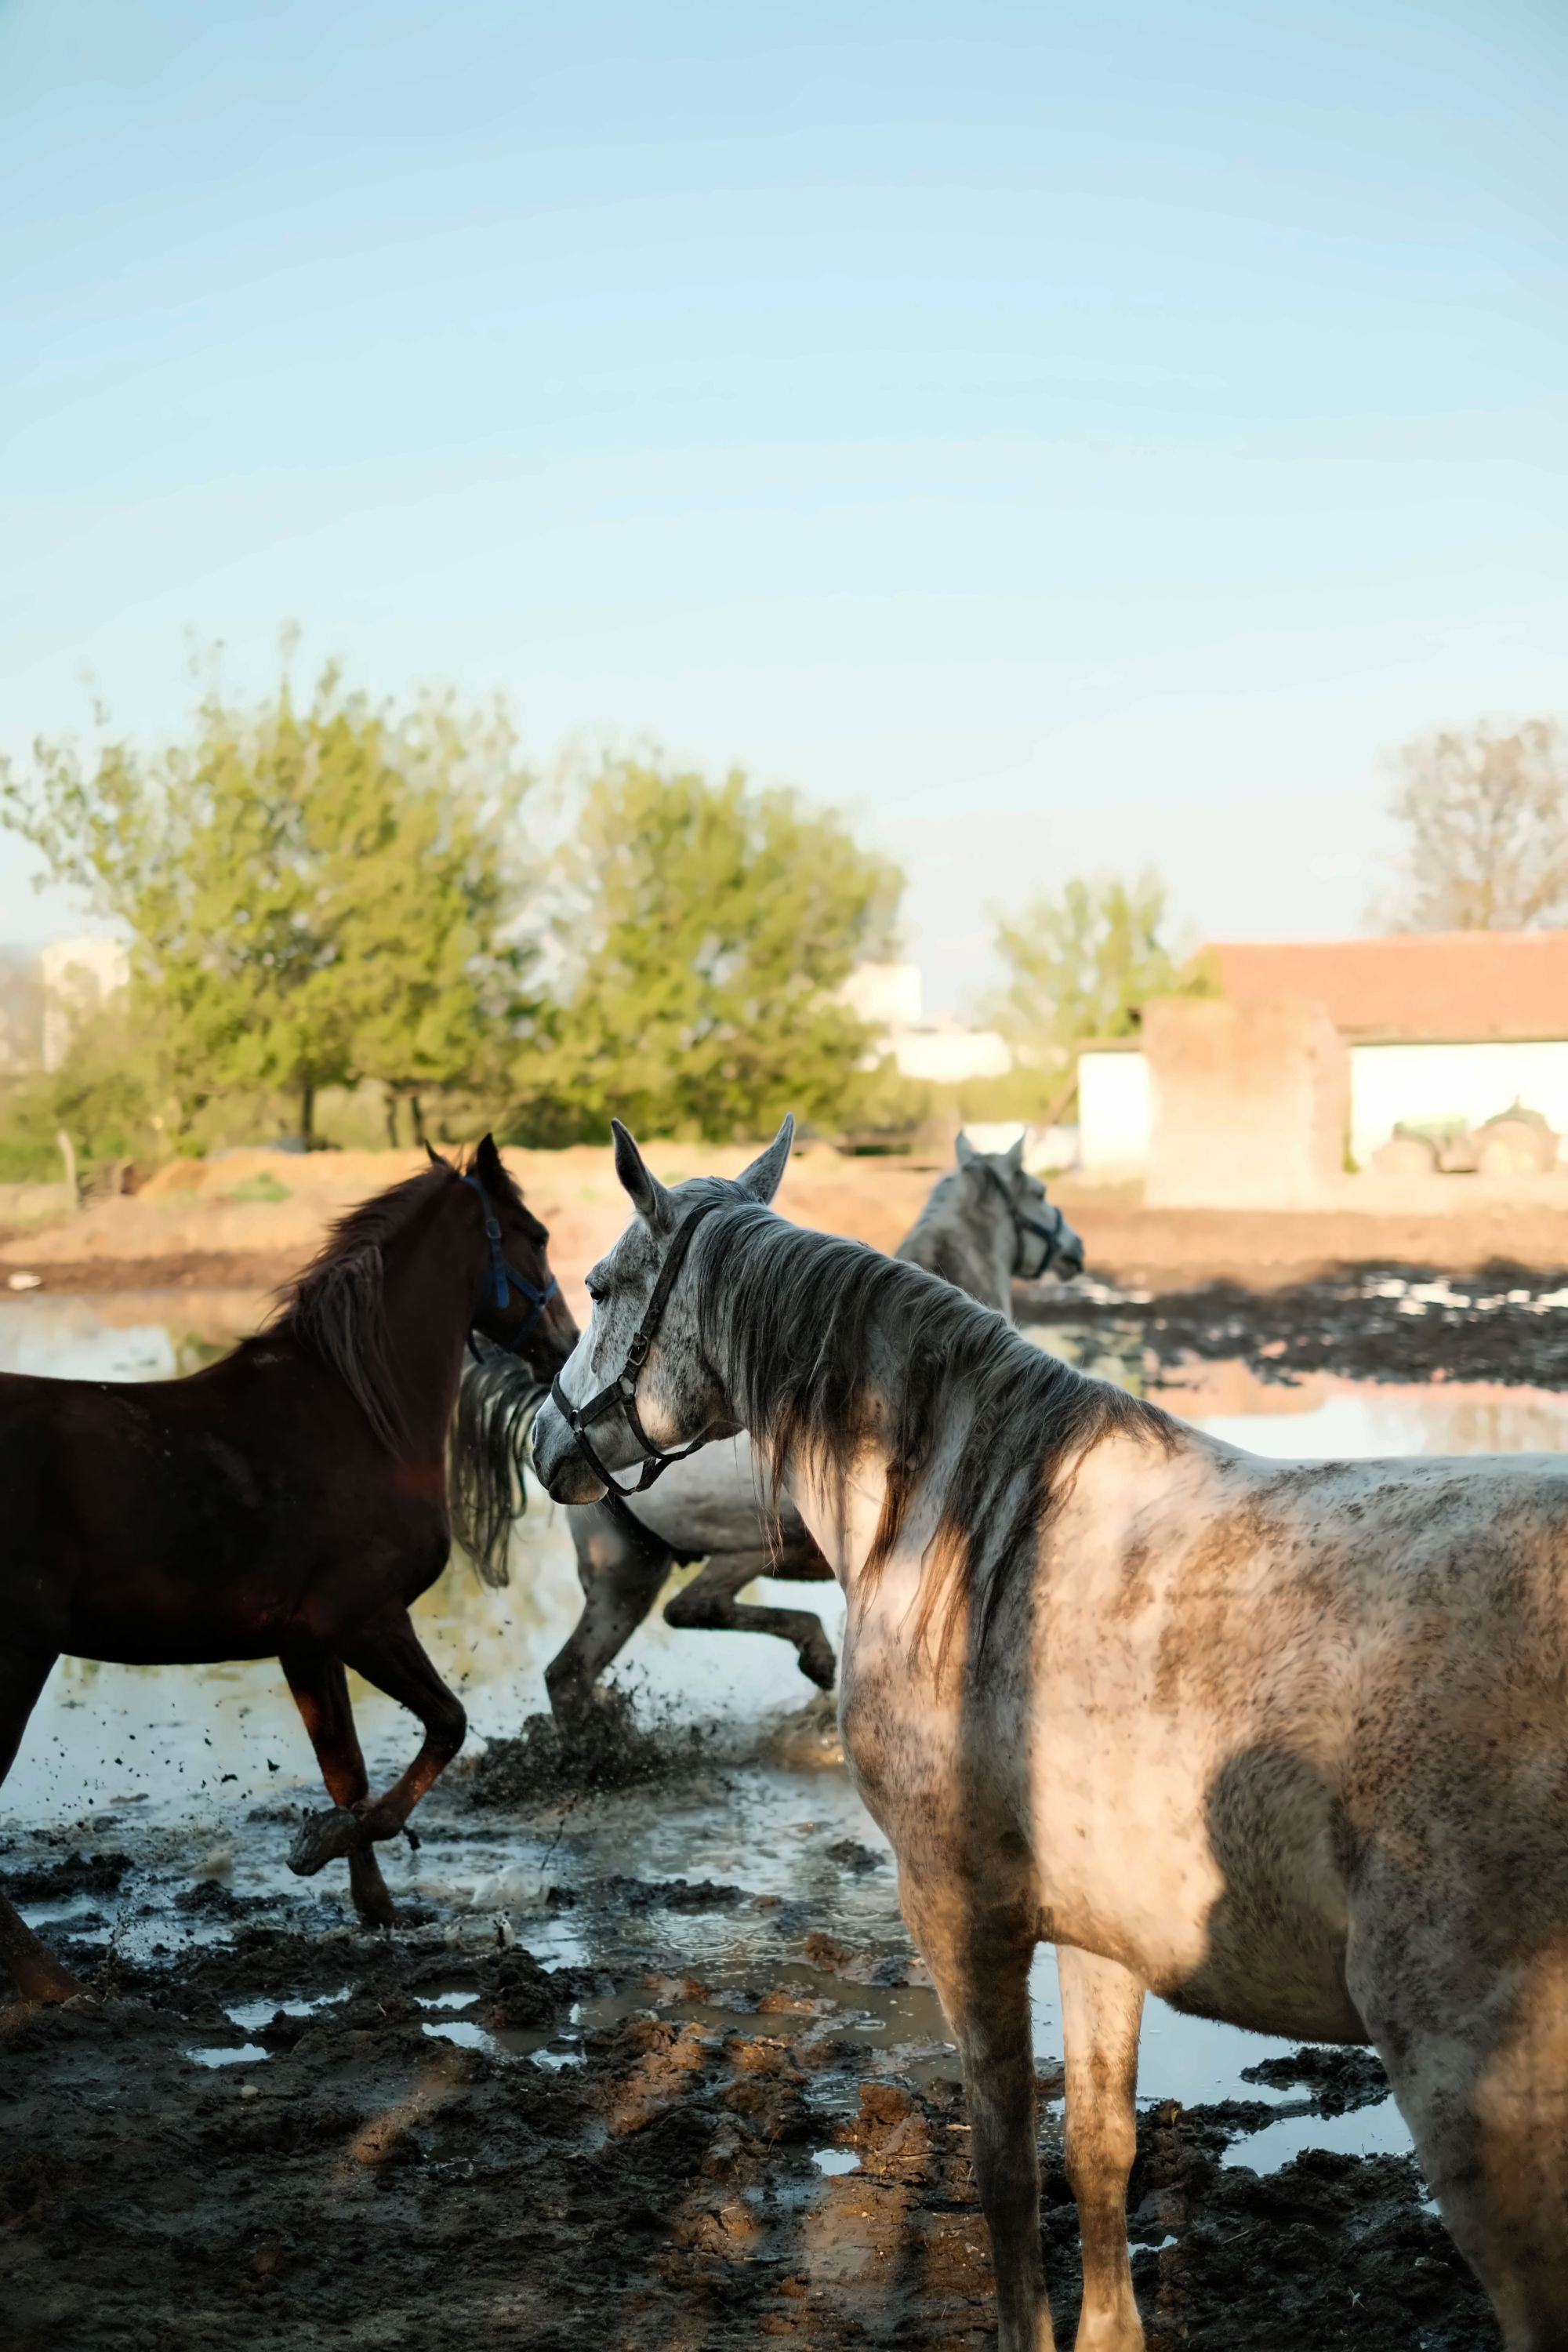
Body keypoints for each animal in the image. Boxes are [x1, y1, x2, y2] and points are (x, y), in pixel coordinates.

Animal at [0, 1136, 577, 2004]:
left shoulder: (306, 1645)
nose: (567, 1344)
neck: (358, 1413)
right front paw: (326, 1844)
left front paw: (376, 1907)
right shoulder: (364, 1620)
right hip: (18, 1653)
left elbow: (346, 1770)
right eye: (535, 1235)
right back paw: (56, 1988)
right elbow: (443, 1726)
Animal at [542, 1134, 1084, 1720]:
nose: (1075, 1248)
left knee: (569, 1674)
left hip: (625, 1582)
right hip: (747, 1550)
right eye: (1039, 1192)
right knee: (694, 1607)